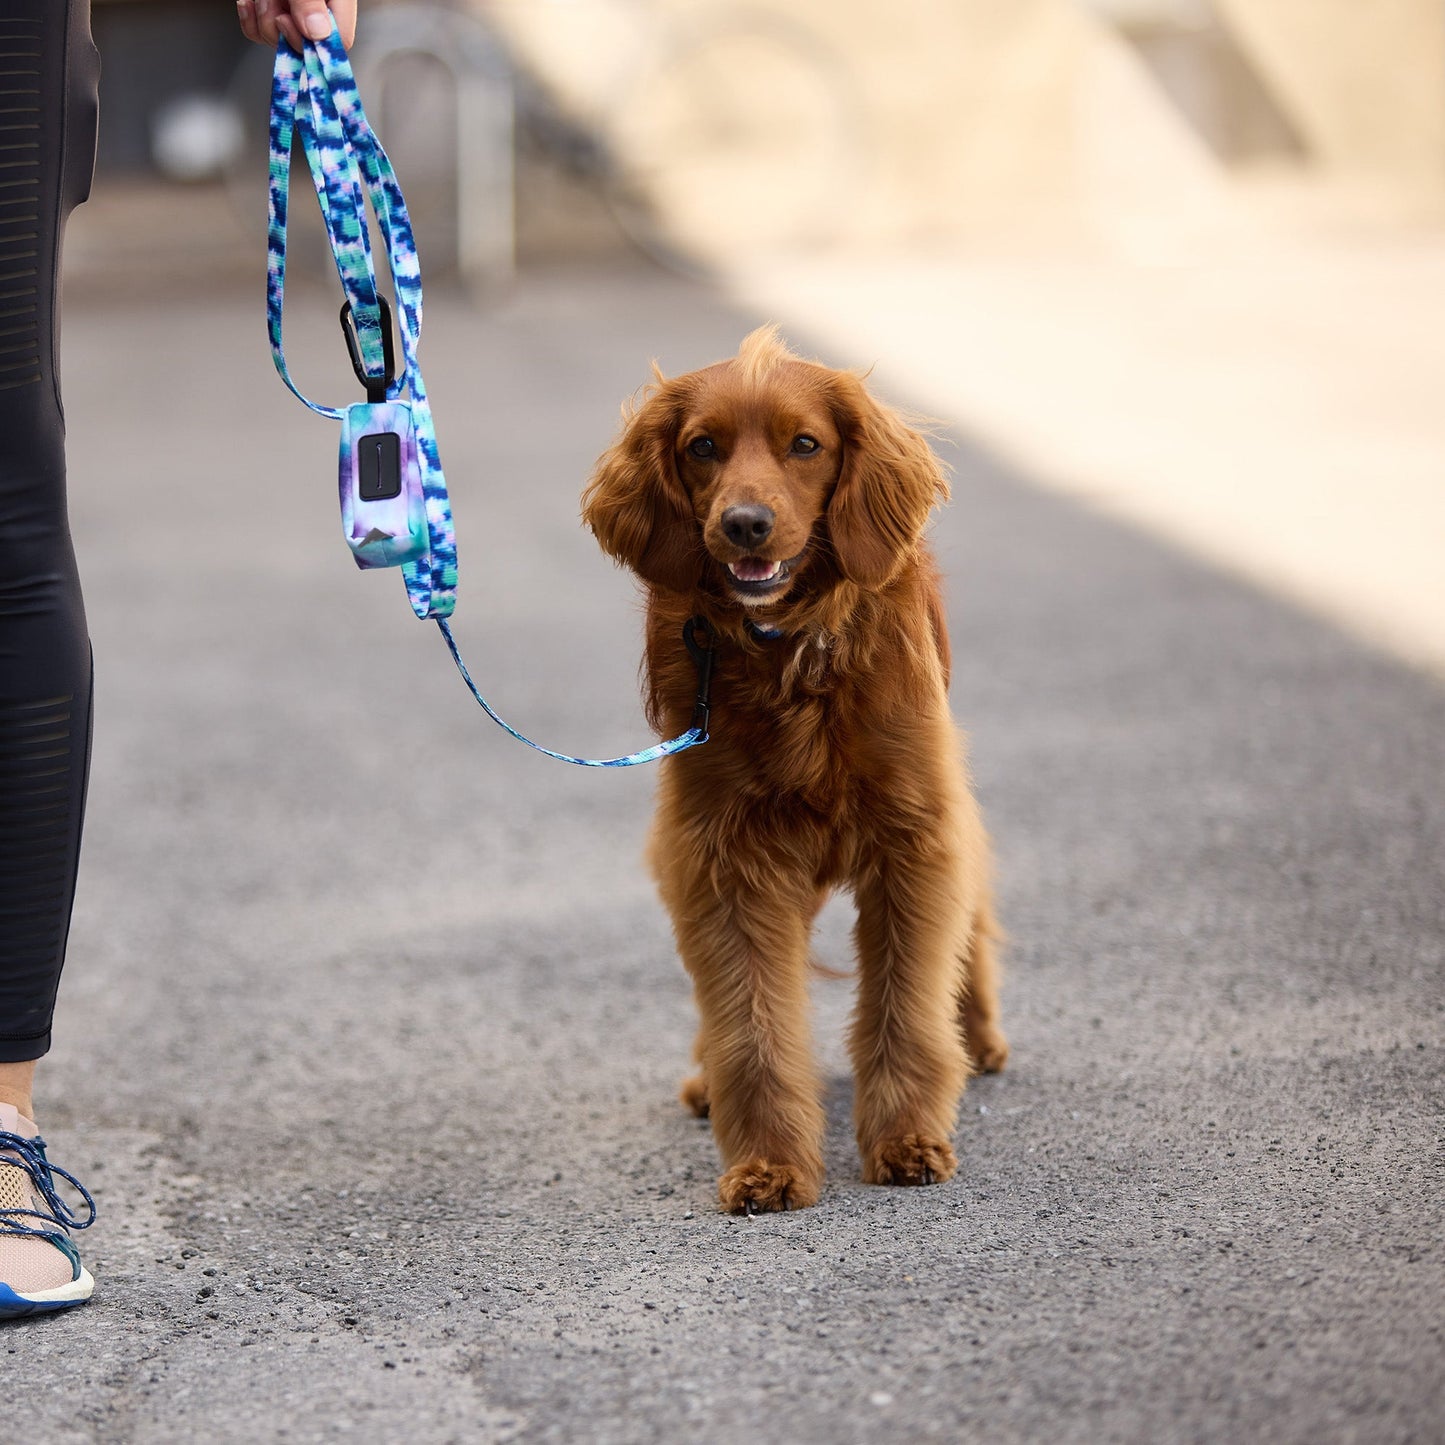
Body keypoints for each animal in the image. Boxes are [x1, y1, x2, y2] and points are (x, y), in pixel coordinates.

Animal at [580, 325, 1011, 1208]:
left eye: (805, 444)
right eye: (701, 447)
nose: (744, 524)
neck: (789, 649)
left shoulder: (915, 835)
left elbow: (905, 1004)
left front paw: (906, 1138)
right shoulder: (724, 853)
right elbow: (750, 1022)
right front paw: (767, 1163)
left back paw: (980, 1033)